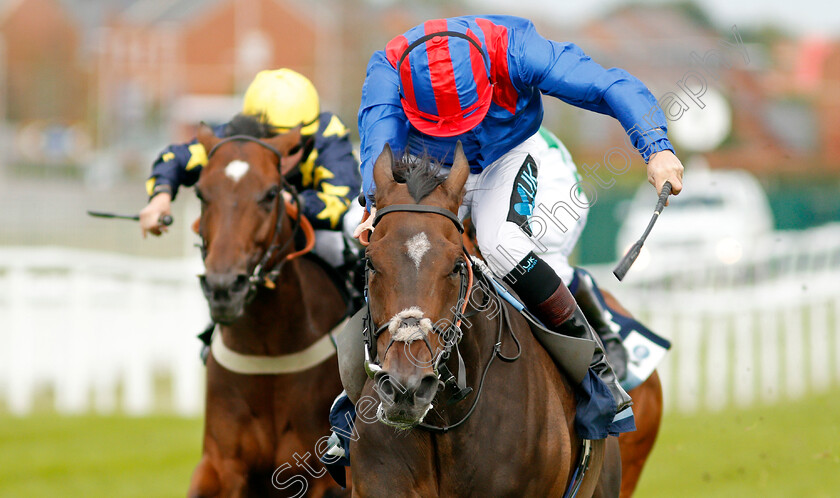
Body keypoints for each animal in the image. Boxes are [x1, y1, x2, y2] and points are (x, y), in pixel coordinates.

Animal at [188, 115, 348, 496]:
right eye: (201, 193)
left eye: (271, 193)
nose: (223, 287)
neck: (268, 350)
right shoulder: (222, 464)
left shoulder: (320, 475)